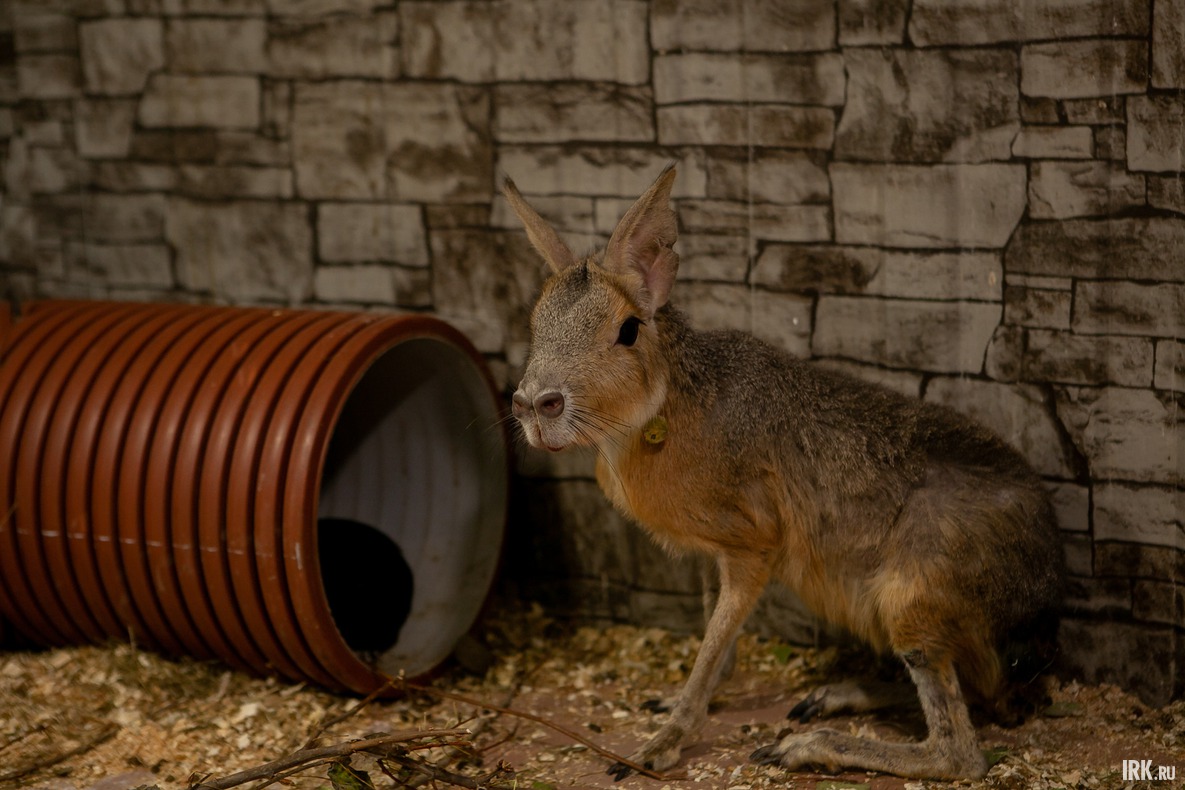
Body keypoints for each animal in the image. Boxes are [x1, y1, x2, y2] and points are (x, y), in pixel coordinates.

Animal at [504, 166, 1065, 781]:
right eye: (535, 323)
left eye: (628, 330)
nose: (534, 404)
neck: (668, 410)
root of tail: (1043, 616)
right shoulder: (713, 551)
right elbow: (715, 641)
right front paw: (675, 703)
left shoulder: (754, 547)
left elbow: (712, 647)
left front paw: (662, 743)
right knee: (976, 697)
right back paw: (839, 694)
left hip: (912, 603)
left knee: (959, 750)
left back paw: (809, 743)